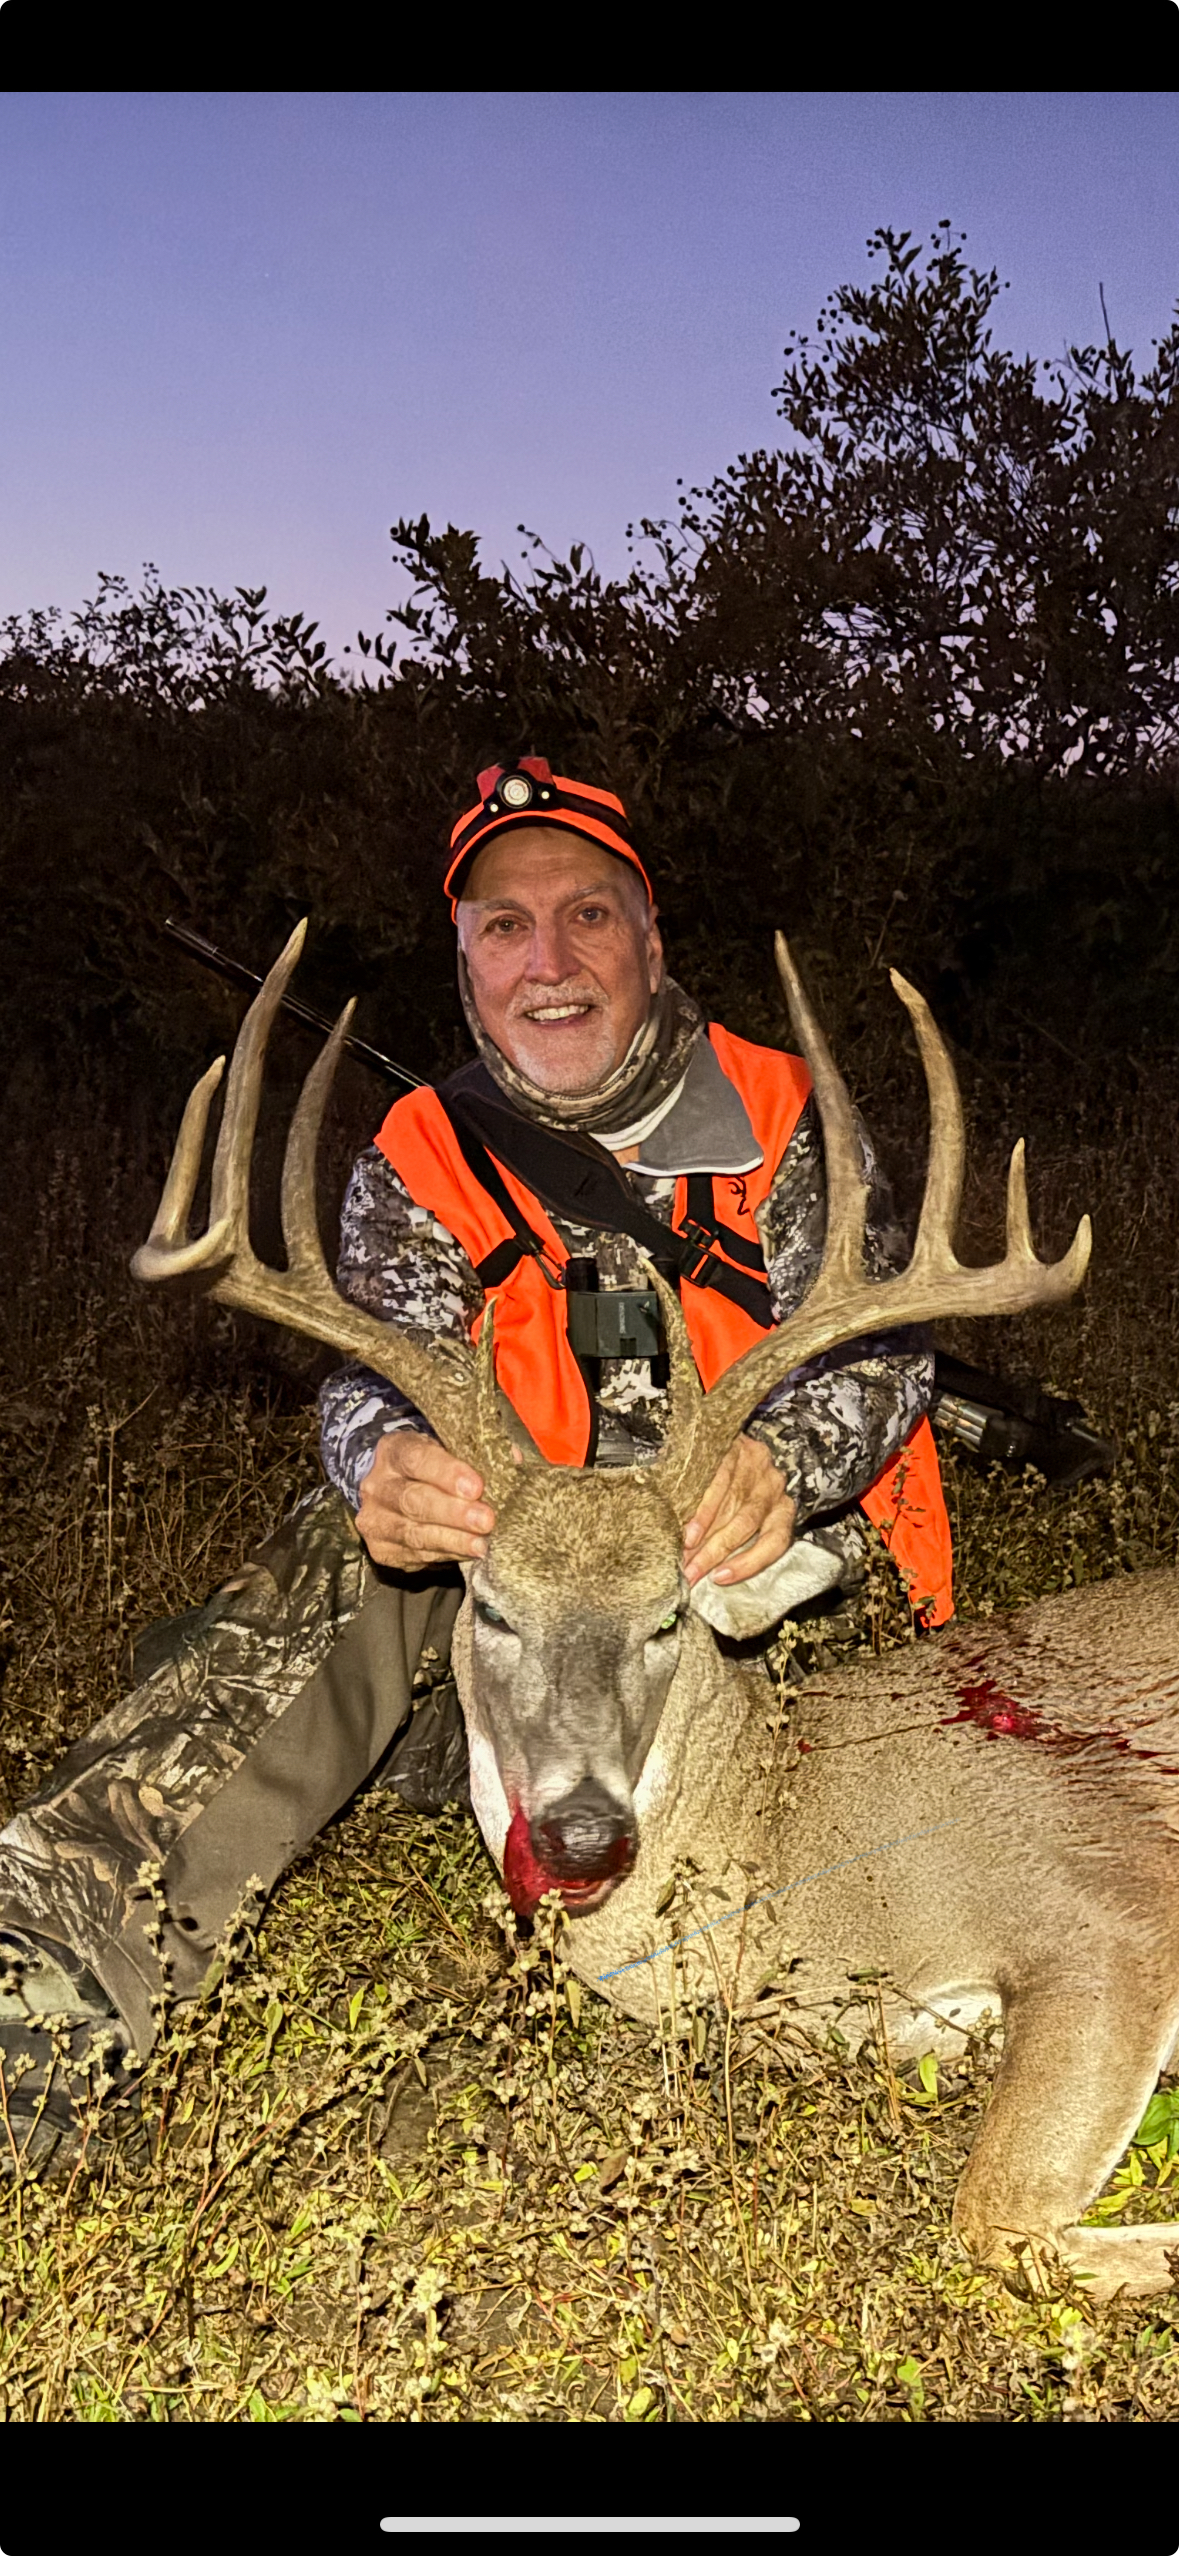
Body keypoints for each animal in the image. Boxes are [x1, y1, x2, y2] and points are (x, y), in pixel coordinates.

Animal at [132, 922, 1179, 2303]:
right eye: (491, 1608)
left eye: (668, 1618)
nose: (582, 1833)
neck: (785, 1844)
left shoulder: (1103, 1901)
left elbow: (994, 2216)